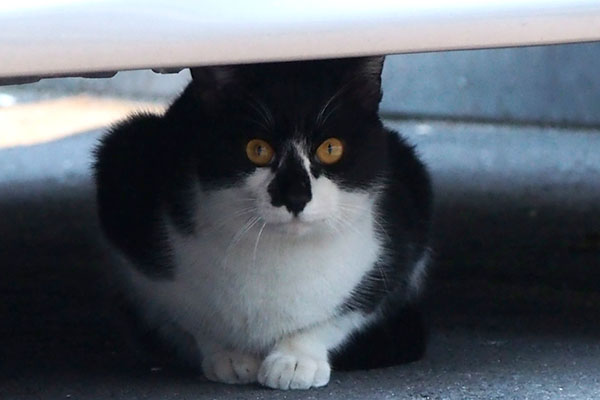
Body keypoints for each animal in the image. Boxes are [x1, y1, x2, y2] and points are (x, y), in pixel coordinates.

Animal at [94, 57, 432, 390]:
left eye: (331, 149)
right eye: (258, 149)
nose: (295, 196)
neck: (281, 256)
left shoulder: (394, 248)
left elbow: (344, 314)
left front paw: (296, 359)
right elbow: (190, 317)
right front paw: (229, 355)